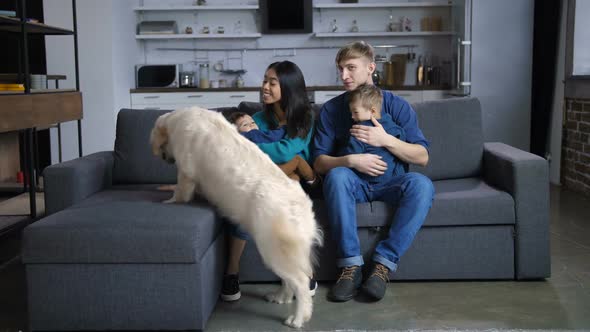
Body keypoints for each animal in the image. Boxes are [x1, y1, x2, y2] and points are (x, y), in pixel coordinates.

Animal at [150, 106, 322, 326]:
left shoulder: (186, 170)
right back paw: (280, 297)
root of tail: (304, 208)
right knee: (289, 281)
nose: (166, 158)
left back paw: (297, 318)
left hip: (272, 249)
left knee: (300, 283)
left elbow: (181, 191)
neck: (178, 119)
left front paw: (170, 200)